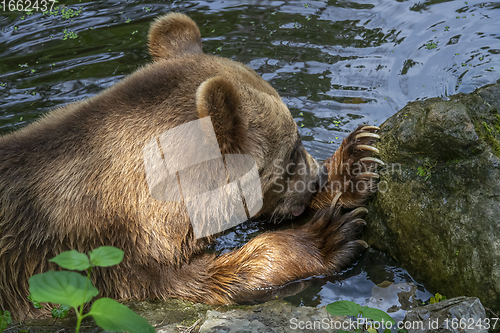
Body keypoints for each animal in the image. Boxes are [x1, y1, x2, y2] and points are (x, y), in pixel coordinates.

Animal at [0, 13, 378, 320]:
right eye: (293, 149)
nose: (314, 178)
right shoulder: (103, 264)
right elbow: (210, 278)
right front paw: (329, 235)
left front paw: (357, 160)